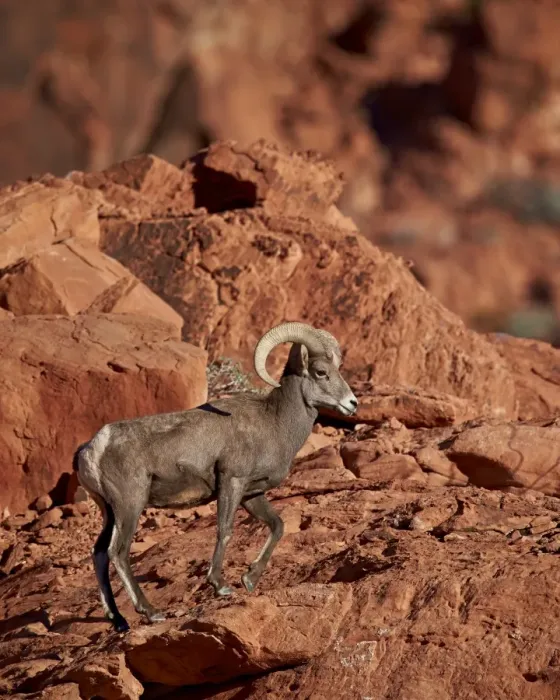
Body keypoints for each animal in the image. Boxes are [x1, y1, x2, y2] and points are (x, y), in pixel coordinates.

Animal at [74, 322, 358, 632]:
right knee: (119, 552)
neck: (274, 423)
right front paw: (221, 585)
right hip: (130, 505)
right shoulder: (232, 481)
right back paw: (150, 612)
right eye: (321, 372)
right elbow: (225, 530)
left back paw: (119, 620)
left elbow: (278, 526)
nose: (352, 403)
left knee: (100, 554)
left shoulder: (252, 494)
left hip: (109, 512)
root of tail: (93, 449)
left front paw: (249, 579)